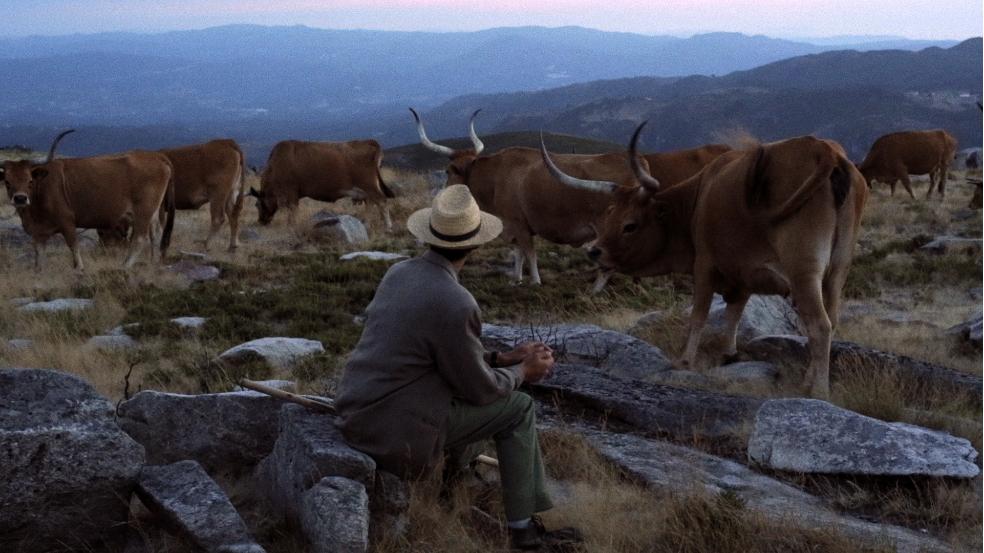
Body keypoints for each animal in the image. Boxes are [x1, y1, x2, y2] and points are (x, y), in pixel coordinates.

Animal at [0, 129, 175, 268]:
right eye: (7, 182)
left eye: (29, 180)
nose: (20, 198)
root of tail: (157, 157)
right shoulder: (38, 234)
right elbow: (39, 260)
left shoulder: (67, 222)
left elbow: (74, 248)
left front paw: (80, 269)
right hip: (153, 212)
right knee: (155, 234)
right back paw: (153, 264)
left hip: (143, 211)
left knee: (140, 238)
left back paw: (125, 266)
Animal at [248, 142, 394, 231]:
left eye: (257, 204)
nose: (260, 221)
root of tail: (370, 142)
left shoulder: (290, 192)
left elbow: (292, 211)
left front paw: (291, 226)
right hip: (366, 188)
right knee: (370, 202)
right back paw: (366, 223)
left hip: (369, 184)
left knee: (381, 201)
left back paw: (388, 226)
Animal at [414, 109, 648, 288]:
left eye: (448, 171)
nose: (443, 193)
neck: (494, 178)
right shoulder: (513, 227)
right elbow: (518, 252)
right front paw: (516, 280)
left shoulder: (519, 224)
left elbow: (529, 253)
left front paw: (535, 282)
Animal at [544, 122, 868, 396]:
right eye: (609, 214)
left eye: (630, 225)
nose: (594, 250)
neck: (698, 201)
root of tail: (824, 150)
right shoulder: (742, 276)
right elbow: (733, 315)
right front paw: (728, 353)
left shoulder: (705, 265)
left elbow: (698, 314)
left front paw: (684, 360)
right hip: (837, 271)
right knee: (831, 320)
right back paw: (809, 379)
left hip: (804, 270)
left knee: (820, 325)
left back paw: (817, 390)